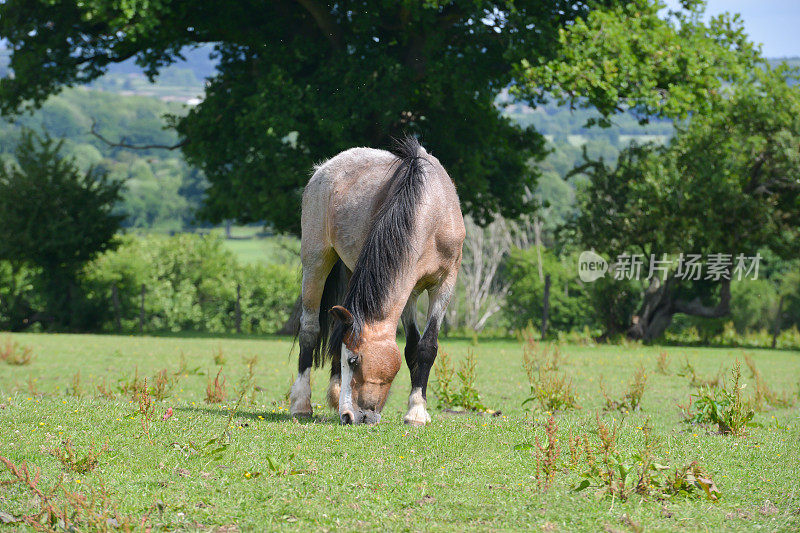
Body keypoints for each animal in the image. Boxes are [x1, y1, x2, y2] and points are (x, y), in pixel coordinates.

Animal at [290, 137, 466, 424]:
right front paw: (416, 409)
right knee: (309, 329)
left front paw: (417, 411)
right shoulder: (409, 289)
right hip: (315, 261)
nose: (348, 416)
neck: (431, 210)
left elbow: (425, 346)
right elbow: (412, 346)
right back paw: (301, 403)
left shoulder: (444, 284)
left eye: (353, 361)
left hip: (351, 271)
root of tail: (324, 168)